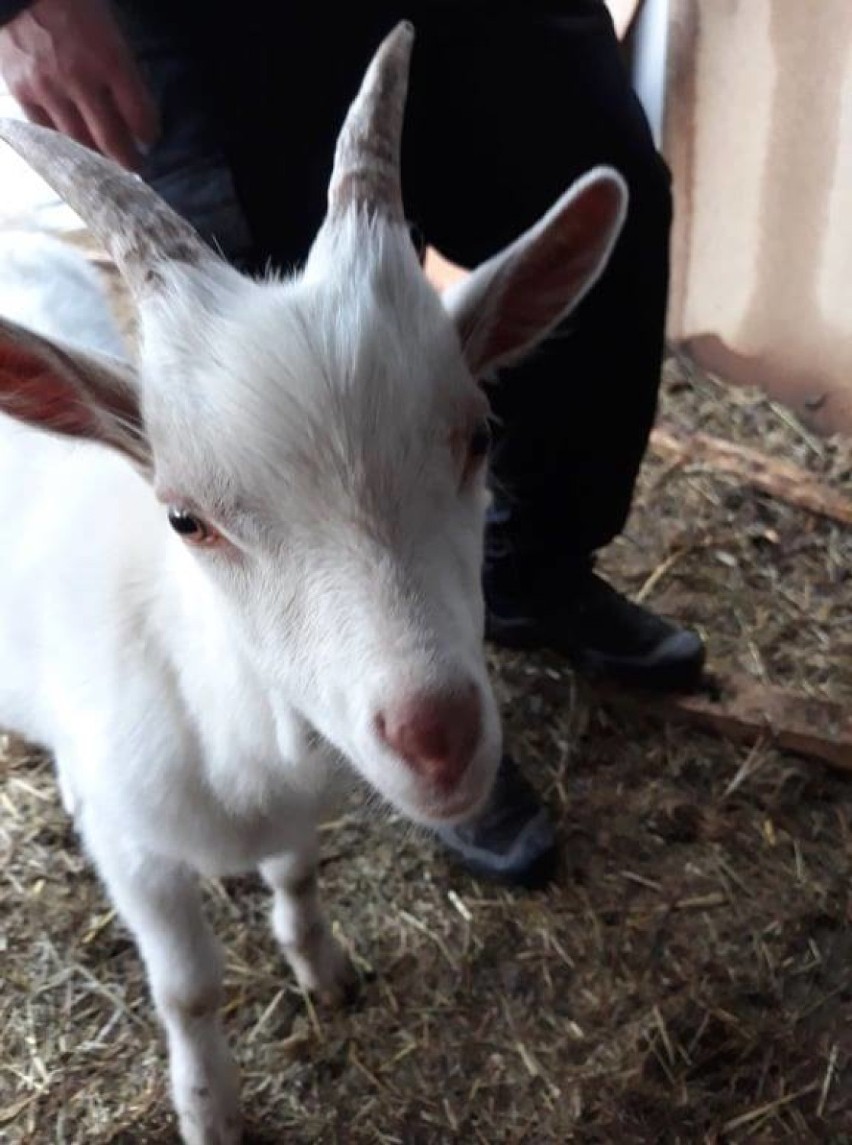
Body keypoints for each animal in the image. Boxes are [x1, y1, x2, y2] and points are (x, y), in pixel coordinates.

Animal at [0, 20, 627, 1145]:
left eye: (481, 434)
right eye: (185, 516)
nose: (439, 736)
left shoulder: (302, 805)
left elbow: (297, 872)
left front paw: (324, 967)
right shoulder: (140, 855)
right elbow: (189, 987)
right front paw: (210, 1109)